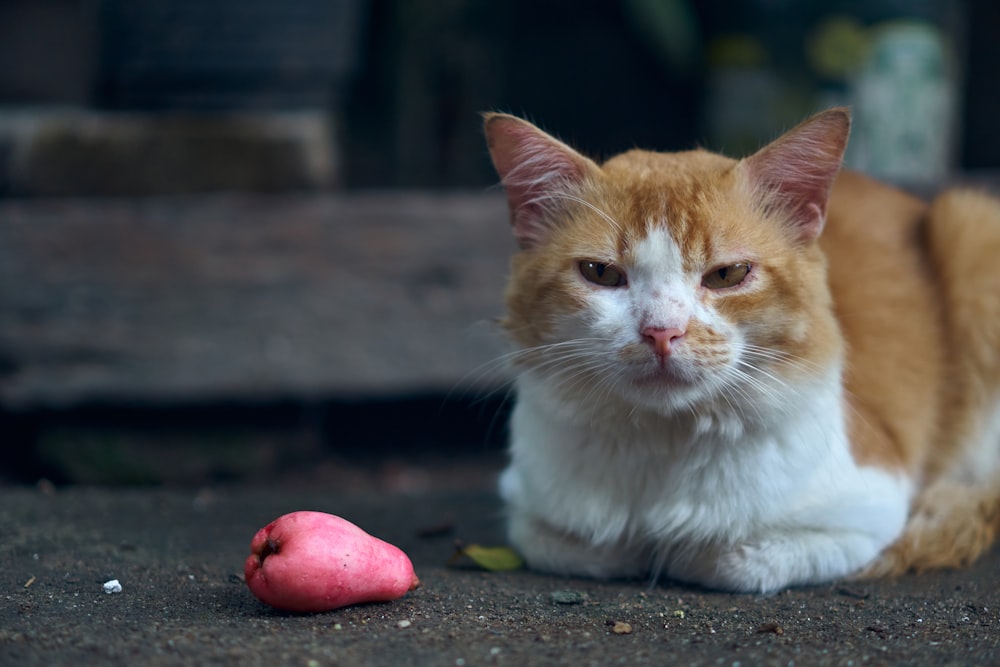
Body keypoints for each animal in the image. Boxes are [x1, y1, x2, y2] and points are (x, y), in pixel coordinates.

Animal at [484, 107, 1000, 592]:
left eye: (727, 275)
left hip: (970, 226)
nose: (661, 332)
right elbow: (580, 546)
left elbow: (731, 558)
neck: (664, 441)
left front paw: (676, 551)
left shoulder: (866, 515)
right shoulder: (529, 508)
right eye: (601, 273)